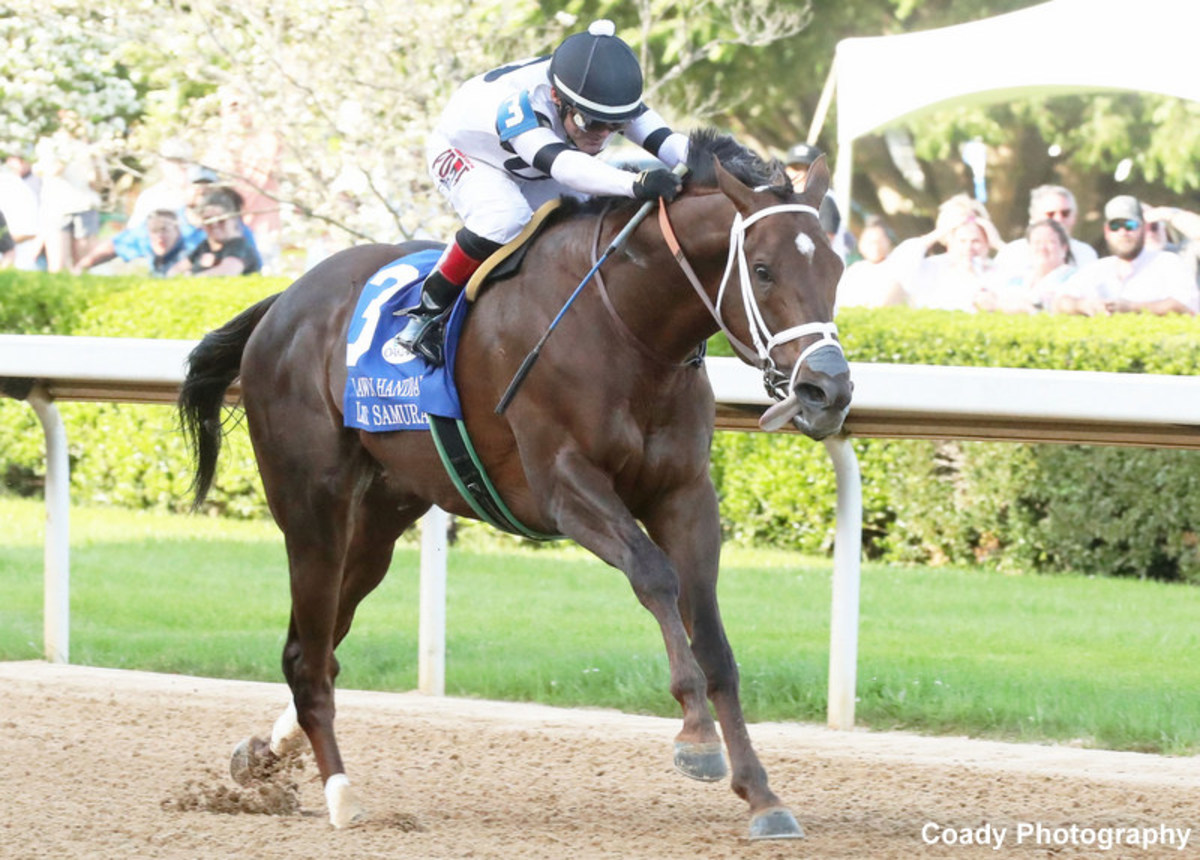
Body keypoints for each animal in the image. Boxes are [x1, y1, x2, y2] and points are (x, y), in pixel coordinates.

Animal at [177, 127, 854, 839]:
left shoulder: (686, 495)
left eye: (835, 270)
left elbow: (717, 644)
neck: (629, 325)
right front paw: (696, 737)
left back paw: (264, 755)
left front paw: (762, 794)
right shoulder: (565, 487)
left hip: (382, 518)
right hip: (313, 507)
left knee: (312, 647)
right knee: (309, 655)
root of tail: (284, 302)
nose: (828, 390)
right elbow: (655, 576)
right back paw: (340, 792)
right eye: (763, 269)